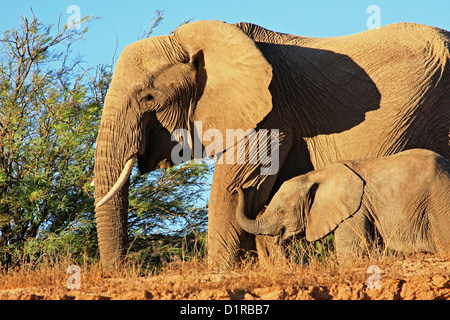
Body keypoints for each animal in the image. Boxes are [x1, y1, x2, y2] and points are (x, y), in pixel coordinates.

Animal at [237, 149, 448, 262]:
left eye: (281, 212)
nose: (241, 187)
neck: (315, 175)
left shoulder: (355, 211)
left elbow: (352, 253)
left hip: (438, 199)